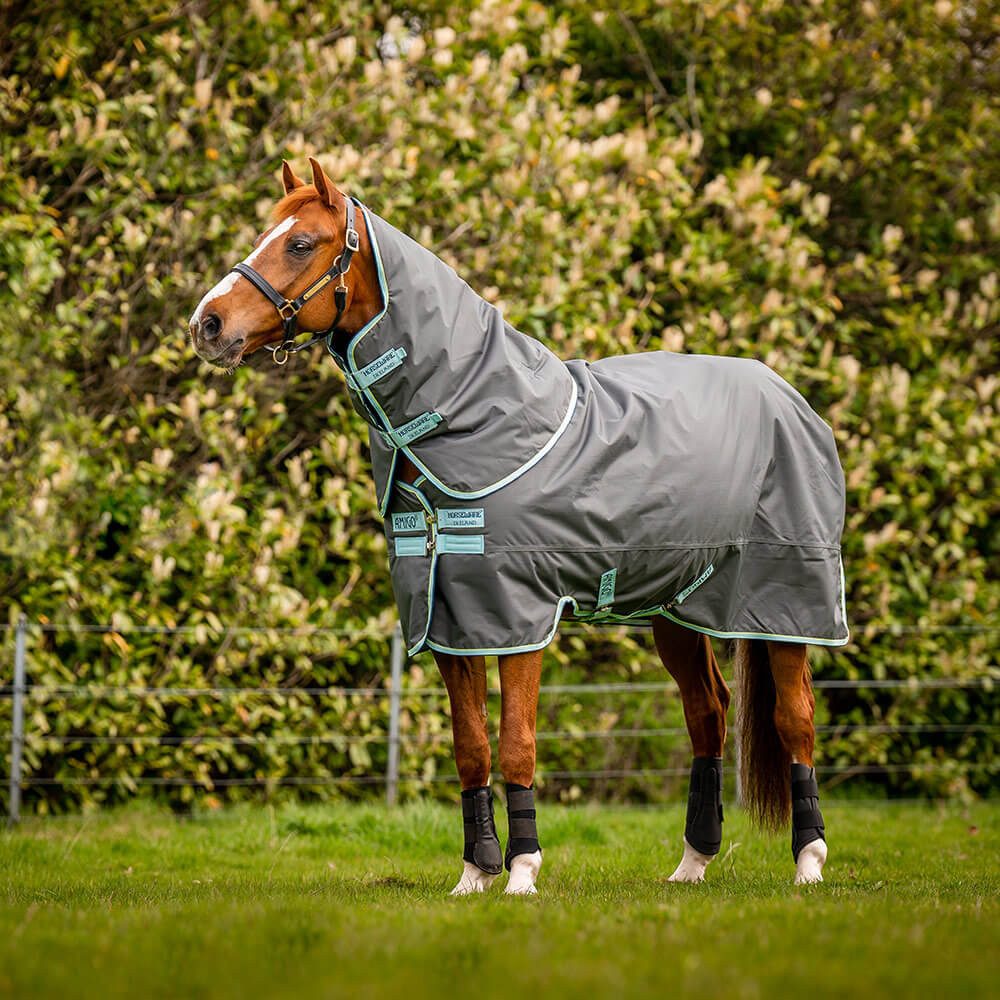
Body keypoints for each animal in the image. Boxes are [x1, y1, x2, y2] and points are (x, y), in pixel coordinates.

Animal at [189, 157, 848, 894]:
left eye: (300, 243)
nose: (207, 323)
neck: (477, 418)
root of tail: (790, 397)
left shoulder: (519, 616)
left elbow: (516, 745)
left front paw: (523, 872)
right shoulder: (451, 620)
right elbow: (472, 748)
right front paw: (474, 875)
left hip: (785, 600)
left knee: (795, 720)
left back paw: (809, 863)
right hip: (679, 610)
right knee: (707, 714)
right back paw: (691, 865)